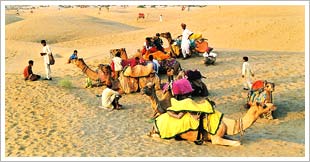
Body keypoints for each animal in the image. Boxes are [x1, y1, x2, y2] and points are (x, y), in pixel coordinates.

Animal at [145, 83, 276, 146]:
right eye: (264, 105)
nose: (273, 106)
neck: (227, 124)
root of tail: (155, 123)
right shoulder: (216, 138)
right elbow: (238, 142)